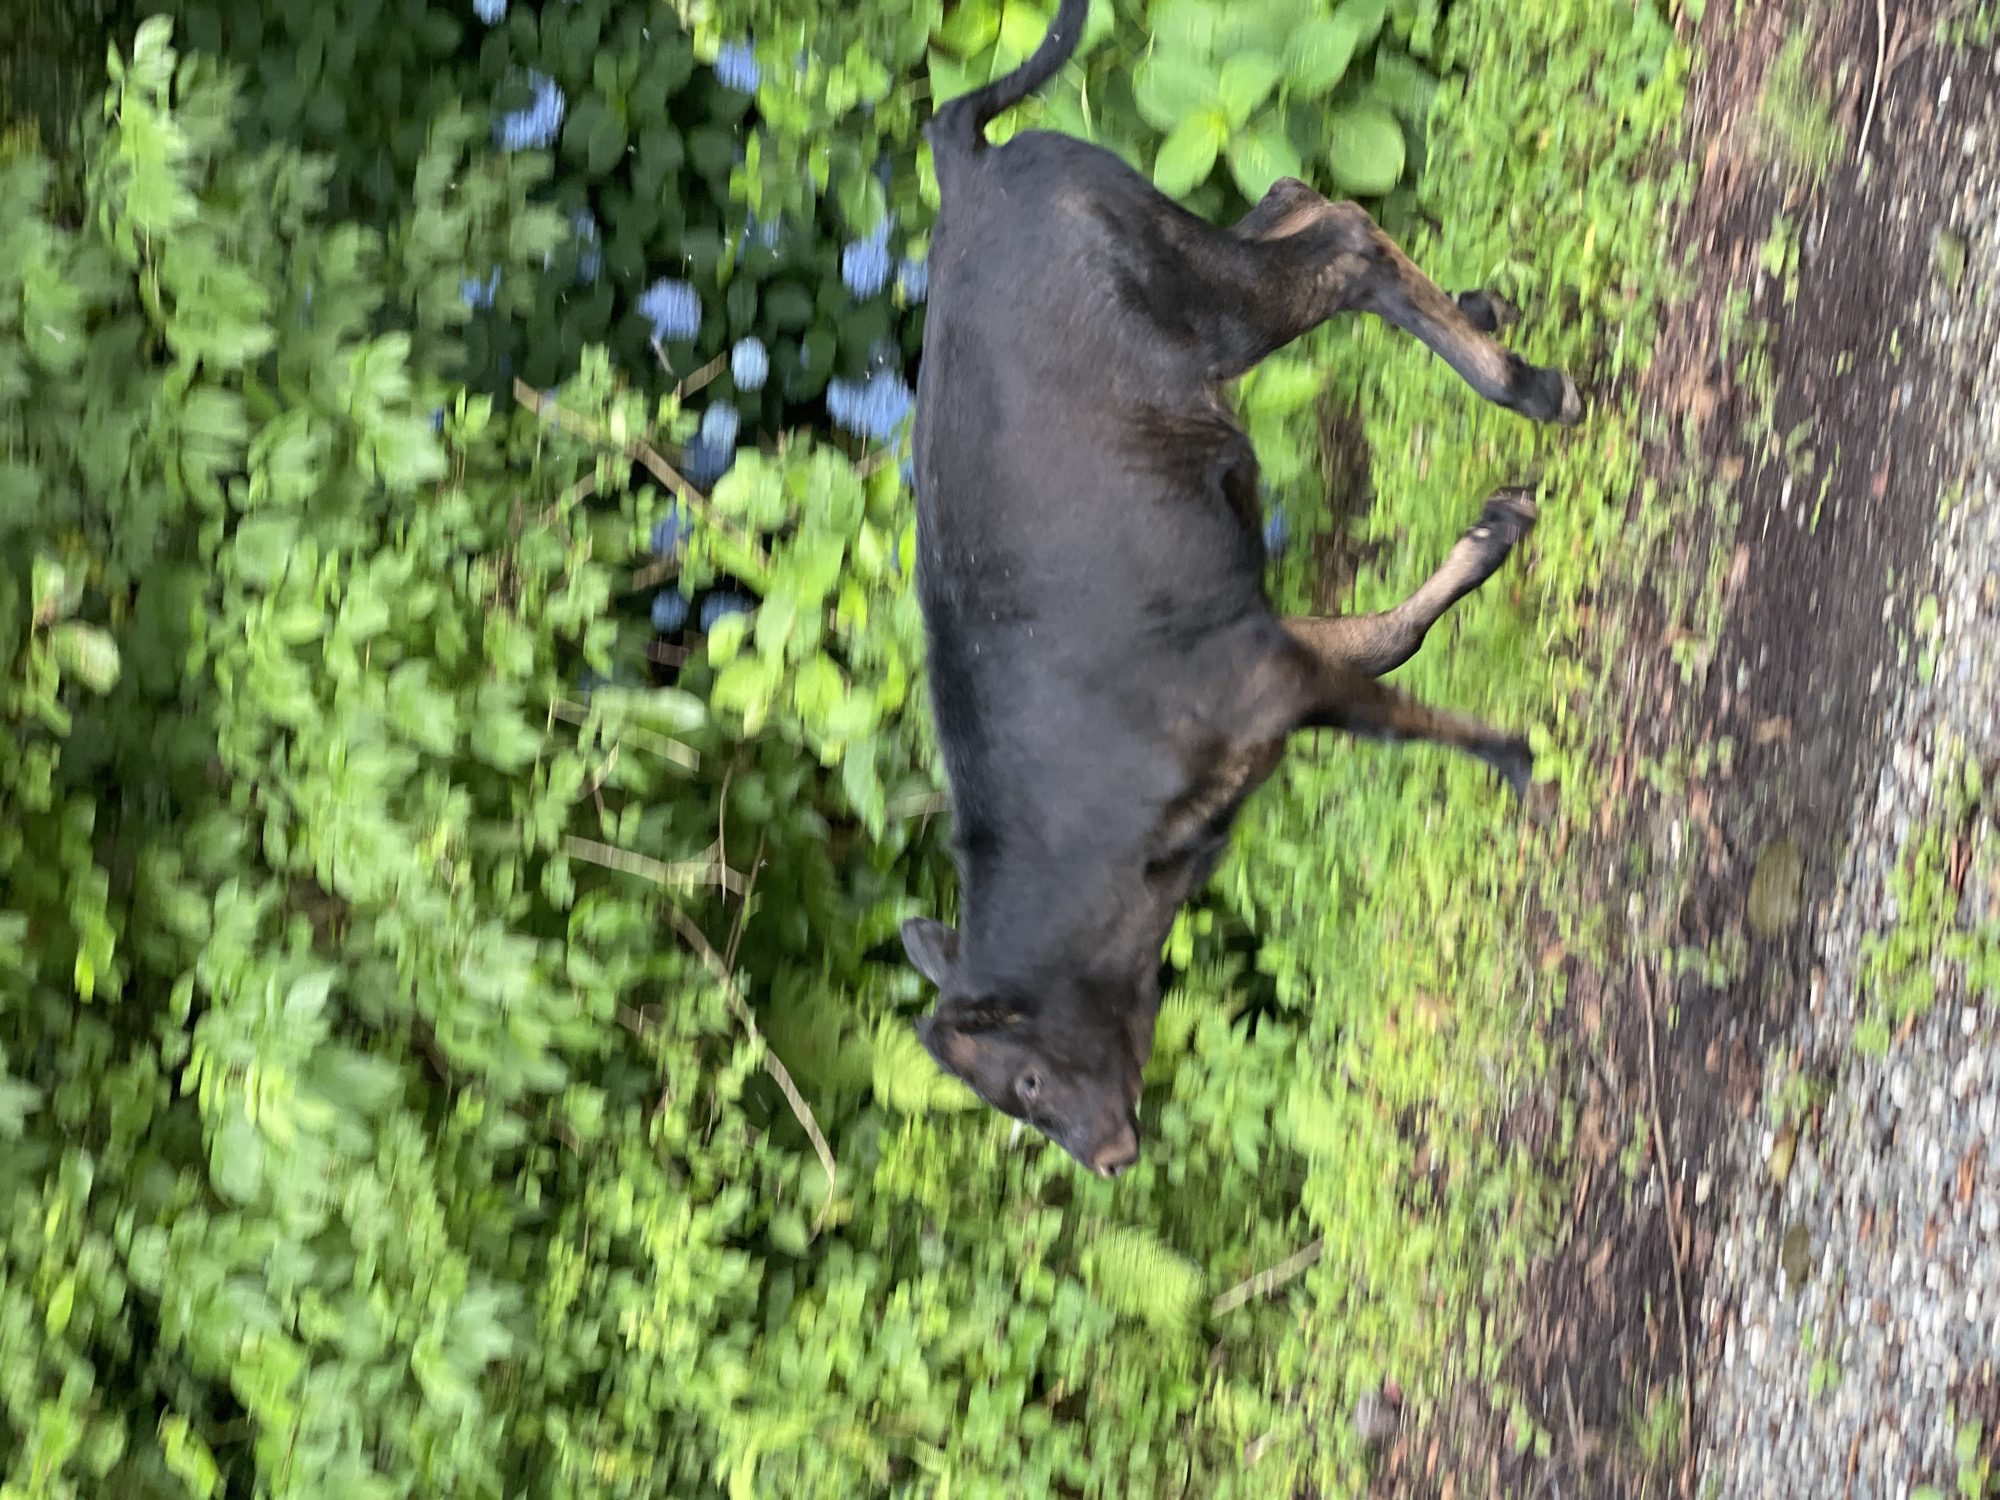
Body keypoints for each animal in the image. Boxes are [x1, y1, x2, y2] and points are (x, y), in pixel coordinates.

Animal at [901, 0, 1581, 1177]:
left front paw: (1511, 754)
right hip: (1192, 274)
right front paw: (1495, 531)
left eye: (1023, 1083)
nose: (1106, 1160)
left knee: (1340, 239)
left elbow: (1398, 703)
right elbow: (1385, 641)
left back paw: (1524, 382)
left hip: (1213, 308)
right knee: (1293, 199)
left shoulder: (1263, 680)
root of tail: (963, 162)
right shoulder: (1264, 645)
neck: (1130, 859)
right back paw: (1485, 309)